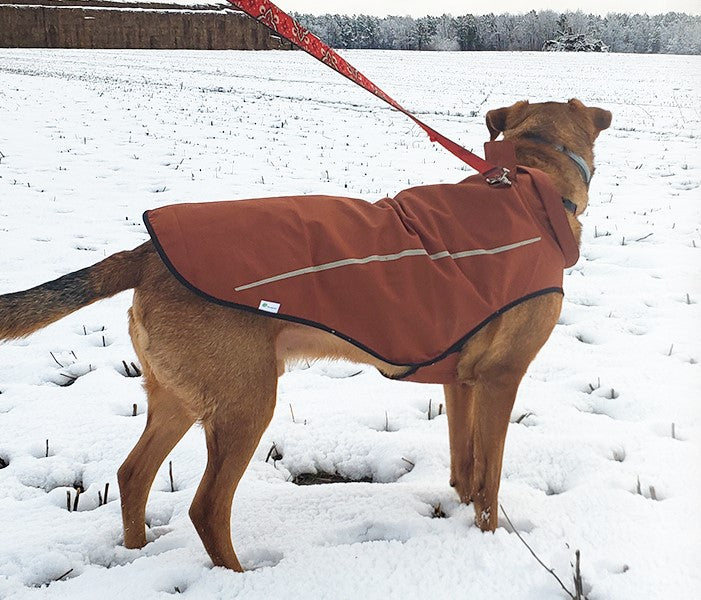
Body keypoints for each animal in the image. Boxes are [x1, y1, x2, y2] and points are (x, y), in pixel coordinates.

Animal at [0, 99, 608, 572]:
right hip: (247, 402)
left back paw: (136, 553)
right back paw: (238, 578)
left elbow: (465, 468)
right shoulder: (501, 378)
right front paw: (489, 541)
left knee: (132, 476)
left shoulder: (460, 381)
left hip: (179, 397)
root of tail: (146, 255)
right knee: (206, 507)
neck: (528, 183)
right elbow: (490, 480)